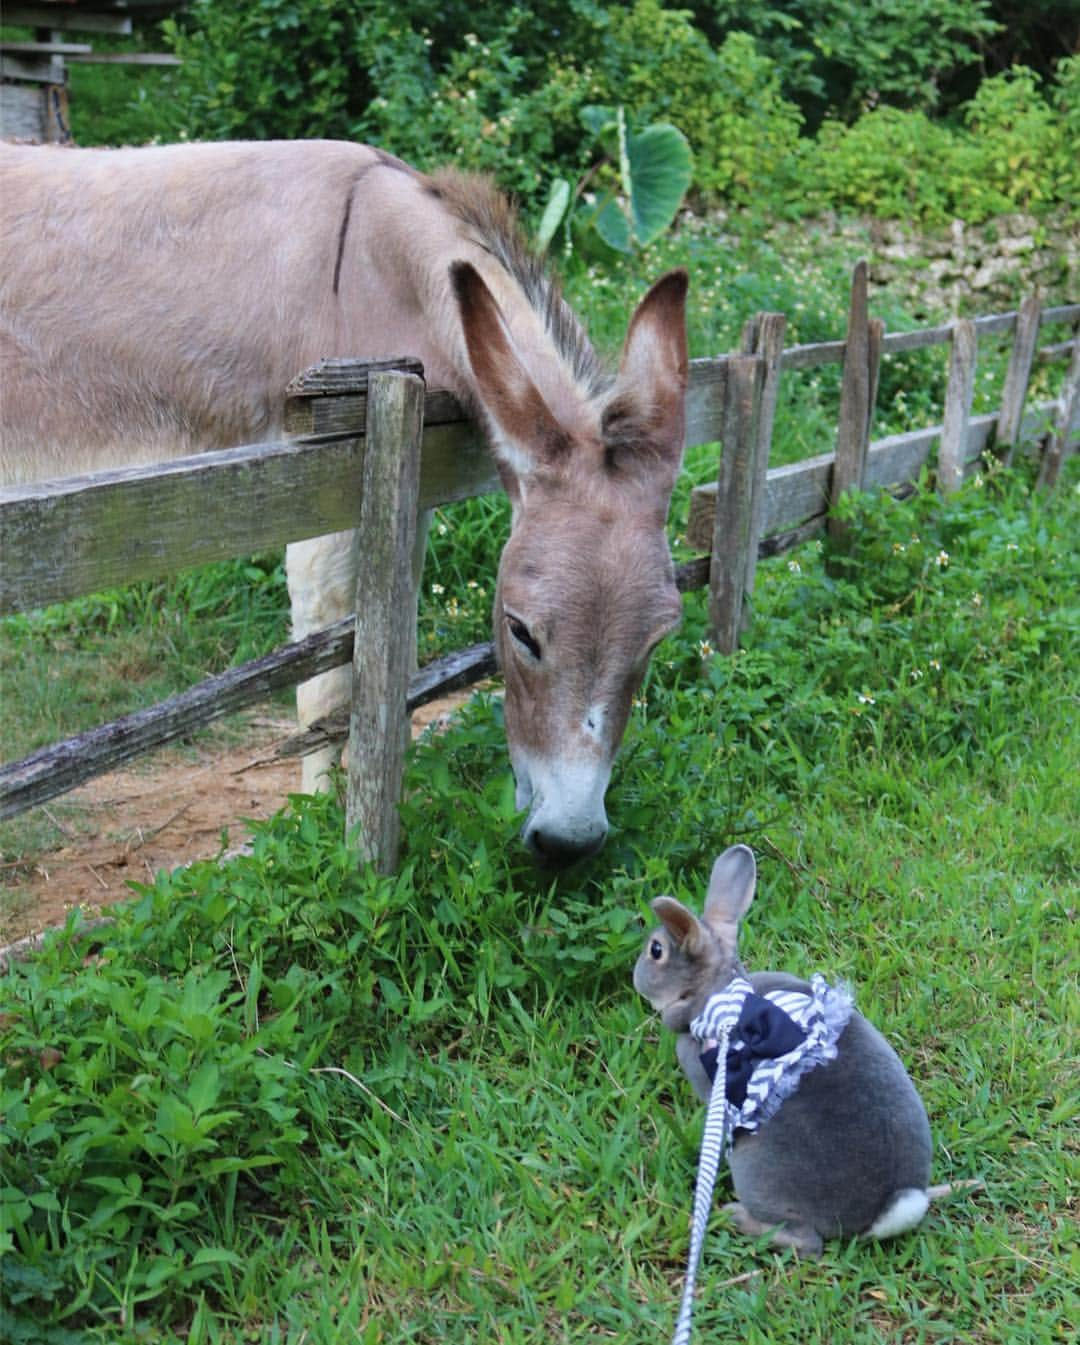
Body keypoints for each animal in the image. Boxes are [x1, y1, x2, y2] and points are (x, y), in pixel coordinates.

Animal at [637, 844, 936, 1253]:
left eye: (656, 951)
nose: (635, 977)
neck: (719, 995)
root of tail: (882, 1215)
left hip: (754, 1169)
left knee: (807, 1242)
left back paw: (735, 1217)